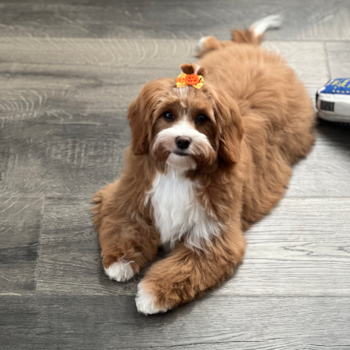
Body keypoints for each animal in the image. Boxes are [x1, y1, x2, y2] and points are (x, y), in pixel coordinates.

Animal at [91, 15, 316, 314]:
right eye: (167, 115)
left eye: (202, 118)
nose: (183, 140)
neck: (177, 172)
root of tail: (255, 51)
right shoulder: (125, 195)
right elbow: (123, 224)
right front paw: (119, 263)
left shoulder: (214, 233)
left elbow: (186, 266)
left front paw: (151, 295)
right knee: (220, 45)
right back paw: (205, 42)